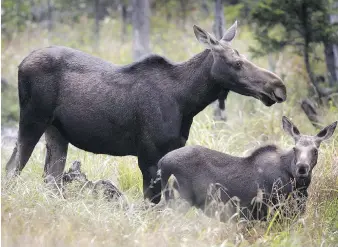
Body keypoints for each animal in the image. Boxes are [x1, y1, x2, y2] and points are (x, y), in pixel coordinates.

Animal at [5, 20, 286, 203]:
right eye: (237, 63)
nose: (278, 87)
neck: (187, 102)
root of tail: (20, 63)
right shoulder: (149, 155)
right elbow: (152, 204)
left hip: (56, 132)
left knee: (50, 178)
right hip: (32, 120)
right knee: (12, 167)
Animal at [160, 116, 336, 221]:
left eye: (315, 150)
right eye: (295, 148)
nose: (302, 168)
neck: (299, 186)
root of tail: (162, 163)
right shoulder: (272, 211)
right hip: (179, 201)